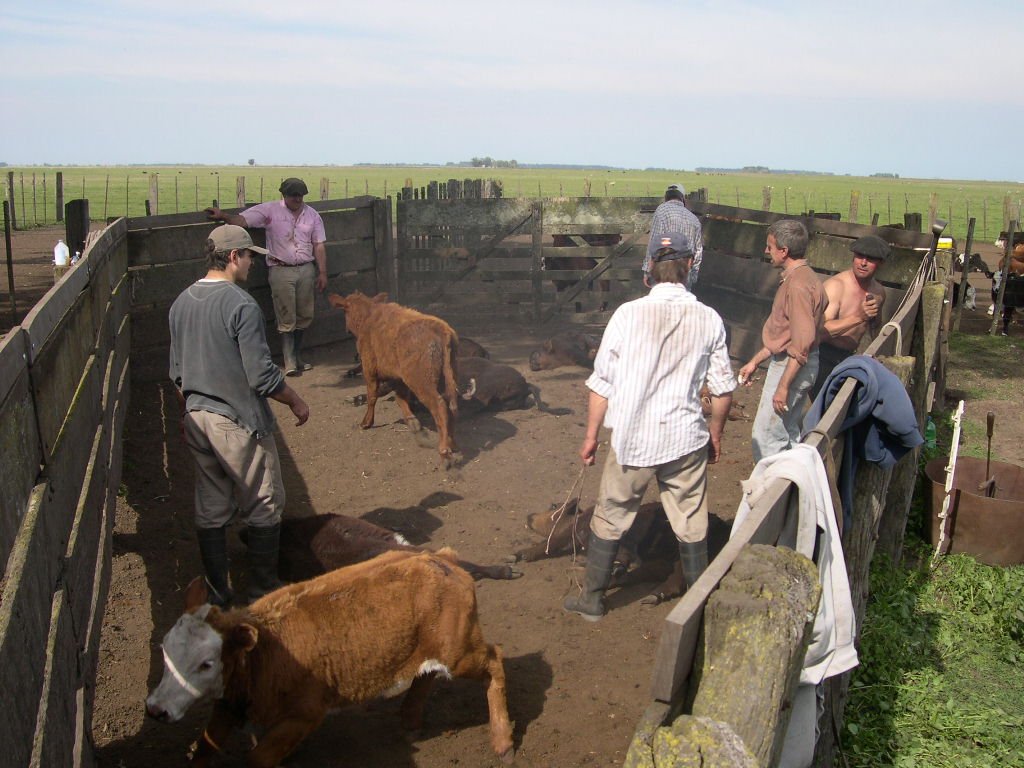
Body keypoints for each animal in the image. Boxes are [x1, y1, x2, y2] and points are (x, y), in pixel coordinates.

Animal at [148, 552, 516, 768]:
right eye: (165, 651)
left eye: (206, 664)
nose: (155, 709)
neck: (261, 655)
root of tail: (439, 558)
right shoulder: (227, 706)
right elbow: (204, 748)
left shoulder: (304, 715)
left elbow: (257, 758)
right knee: (425, 676)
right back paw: (409, 720)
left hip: (460, 651)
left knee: (495, 661)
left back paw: (502, 741)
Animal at [329, 290, 458, 466]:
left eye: (344, 311)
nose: (346, 330)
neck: (369, 317)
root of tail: (442, 330)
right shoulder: (397, 377)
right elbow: (400, 398)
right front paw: (412, 422)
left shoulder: (369, 370)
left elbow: (372, 396)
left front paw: (366, 422)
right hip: (449, 377)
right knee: (451, 405)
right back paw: (452, 442)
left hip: (421, 382)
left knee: (439, 406)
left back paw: (444, 451)